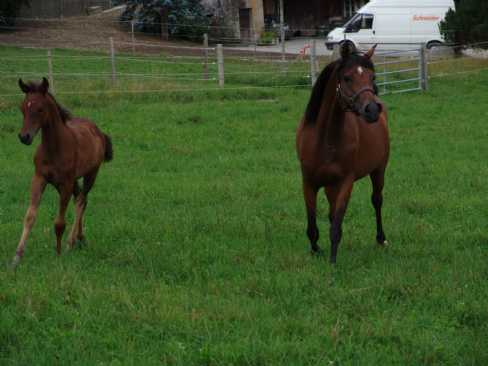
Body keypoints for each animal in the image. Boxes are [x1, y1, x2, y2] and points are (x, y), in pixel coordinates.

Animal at [11, 77, 113, 268]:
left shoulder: (65, 183)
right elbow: (29, 216)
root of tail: (99, 131)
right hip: (69, 182)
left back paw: (70, 243)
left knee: (81, 201)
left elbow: (59, 222)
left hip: (90, 174)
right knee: (81, 199)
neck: (54, 148)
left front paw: (58, 254)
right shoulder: (39, 178)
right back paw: (81, 239)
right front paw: (16, 258)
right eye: (22, 108)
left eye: (40, 109)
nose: (24, 137)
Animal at [298, 41, 388, 264]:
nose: (372, 109)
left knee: (377, 200)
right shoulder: (308, 182)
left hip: (379, 170)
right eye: (347, 77)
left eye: (372, 77)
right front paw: (315, 251)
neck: (325, 139)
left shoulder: (346, 182)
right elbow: (312, 224)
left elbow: (336, 226)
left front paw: (332, 262)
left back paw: (381, 239)